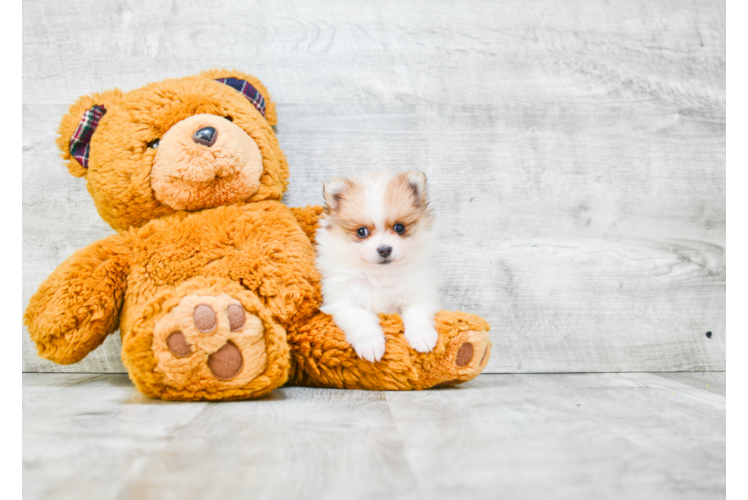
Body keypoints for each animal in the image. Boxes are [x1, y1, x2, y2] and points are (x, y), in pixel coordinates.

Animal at [314, 170, 442, 362]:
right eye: (361, 232)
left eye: (399, 228)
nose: (384, 249)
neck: (381, 275)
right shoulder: (344, 301)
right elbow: (361, 320)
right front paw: (371, 345)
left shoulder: (418, 293)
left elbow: (417, 313)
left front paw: (422, 336)